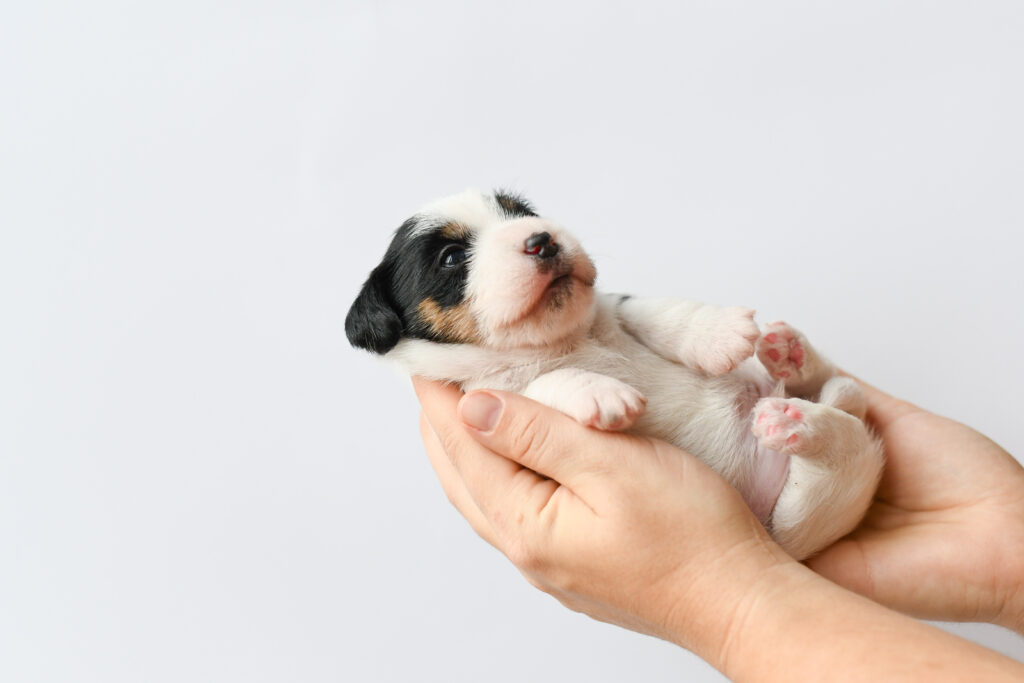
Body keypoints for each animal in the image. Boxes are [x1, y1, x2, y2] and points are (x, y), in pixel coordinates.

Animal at [346, 189, 883, 559]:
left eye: (520, 212)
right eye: (452, 257)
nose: (542, 240)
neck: (559, 341)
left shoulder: (614, 308)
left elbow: (645, 309)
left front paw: (715, 331)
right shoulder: (485, 400)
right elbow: (539, 385)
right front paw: (600, 394)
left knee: (837, 407)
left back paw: (791, 355)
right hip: (795, 519)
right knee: (838, 450)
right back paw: (792, 419)